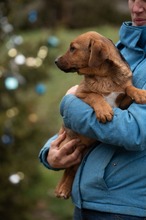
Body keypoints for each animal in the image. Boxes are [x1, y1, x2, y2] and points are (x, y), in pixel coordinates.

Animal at [54, 31, 146, 199]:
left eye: (72, 48)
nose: (55, 61)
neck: (105, 76)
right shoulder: (80, 94)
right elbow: (95, 96)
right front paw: (104, 111)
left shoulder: (122, 103)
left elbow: (128, 88)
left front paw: (140, 93)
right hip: (68, 145)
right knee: (68, 169)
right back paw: (62, 188)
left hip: (81, 151)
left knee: (73, 168)